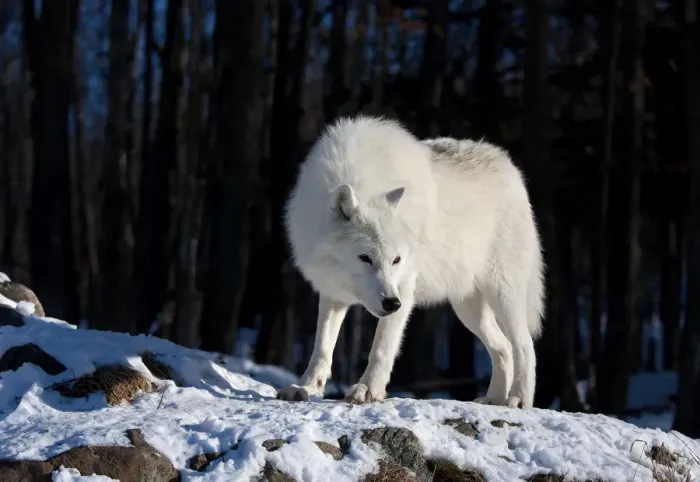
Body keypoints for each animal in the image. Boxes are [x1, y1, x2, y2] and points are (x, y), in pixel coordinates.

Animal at [277, 116, 545, 408]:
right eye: (364, 258)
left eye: (396, 260)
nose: (391, 304)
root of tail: (508, 165)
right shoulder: (333, 292)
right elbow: (321, 347)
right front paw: (305, 387)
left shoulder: (404, 287)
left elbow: (381, 347)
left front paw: (367, 389)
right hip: (468, 309)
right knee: (503, 347)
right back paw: (493, 399)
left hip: (502, 295)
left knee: (524, 346)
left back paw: (518, 399)